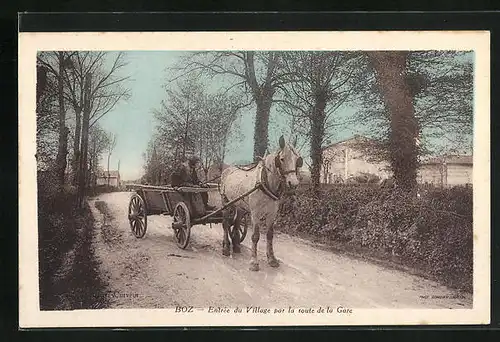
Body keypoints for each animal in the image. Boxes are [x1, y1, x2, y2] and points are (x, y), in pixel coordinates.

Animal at [218, 135, 300, 272]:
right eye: (282, 159)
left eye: (297, 159)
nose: (293, 183)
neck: (265, 182)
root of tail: (227, 170)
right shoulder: (255, 214)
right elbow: (255, 236)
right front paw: (254, 262)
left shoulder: (272, 214)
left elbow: (270, 235)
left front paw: (272, 259)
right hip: (226, 203)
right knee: (225, 224)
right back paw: (226, 248)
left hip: (240, 206)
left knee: (236, 222)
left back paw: (236, 246)